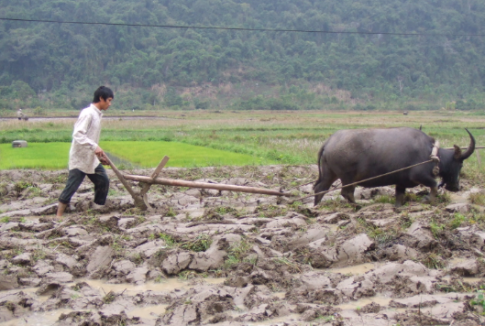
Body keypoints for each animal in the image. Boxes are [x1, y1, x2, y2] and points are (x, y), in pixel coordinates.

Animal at [312, 127, 474, 206]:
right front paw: (429, 200)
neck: (431, 153)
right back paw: (357, 205)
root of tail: (329, 141)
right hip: (348, 177)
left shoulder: (401, 182)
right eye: (460, 164)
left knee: (320, 188)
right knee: (346, 192)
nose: (456, 187)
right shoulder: (419, 176)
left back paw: (316, 206)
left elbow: (399, 196)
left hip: (330, 174)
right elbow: (434, 185)